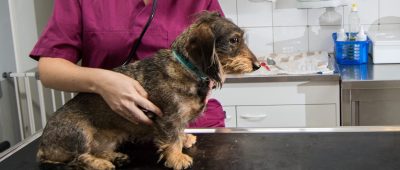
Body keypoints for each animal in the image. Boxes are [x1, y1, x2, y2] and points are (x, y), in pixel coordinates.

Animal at [37, 11, 260, 170]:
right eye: (234, 40)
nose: (258, 66)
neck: (187, 68)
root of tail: (43, 147)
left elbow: (179, 132)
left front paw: (184, 139)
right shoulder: (168, 117)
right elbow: (172, 137)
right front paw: (176, 157)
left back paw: (113, 156)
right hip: (79, 133)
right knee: (80, 157)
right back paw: (100, 163)